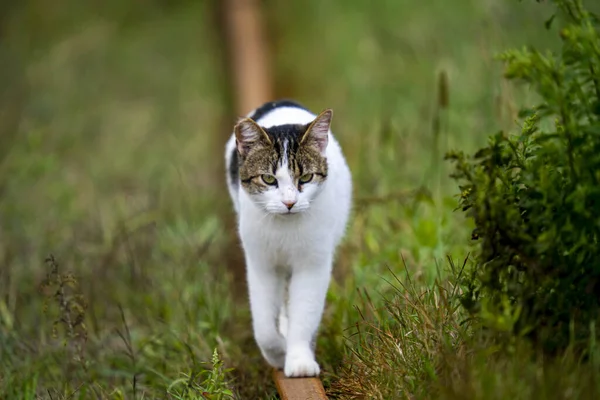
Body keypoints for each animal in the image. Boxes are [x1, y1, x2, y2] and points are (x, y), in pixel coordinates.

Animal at [225, 100, 352, 378]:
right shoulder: (261, 263)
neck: (284, 228)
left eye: (305, 178)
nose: (290, 202)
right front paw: (277, 353)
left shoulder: (313, 264)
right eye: (268, 179)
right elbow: (263, 326)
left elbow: (304, 313)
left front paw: (299, 360)